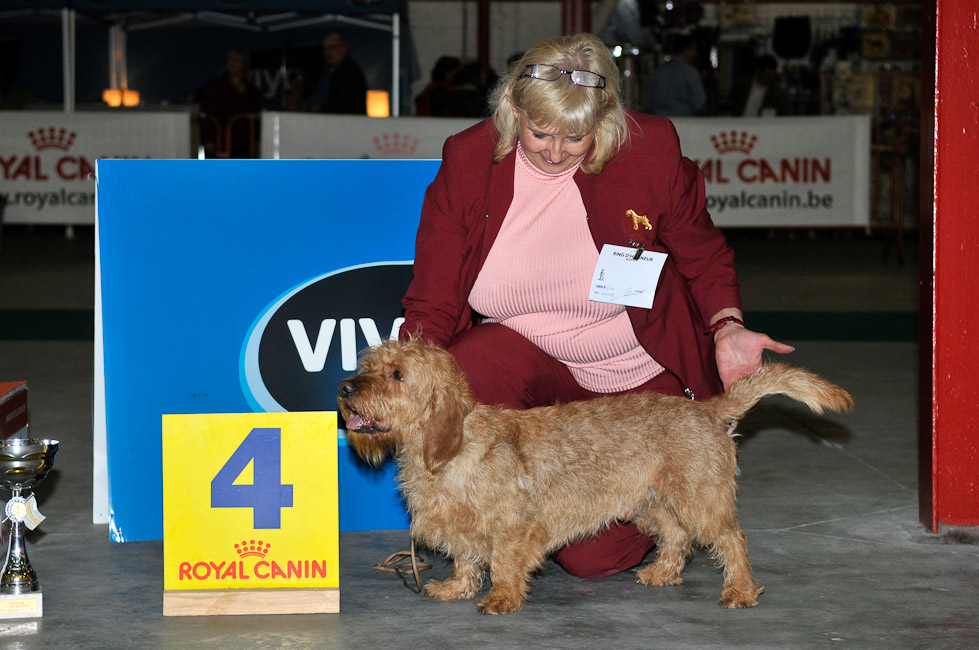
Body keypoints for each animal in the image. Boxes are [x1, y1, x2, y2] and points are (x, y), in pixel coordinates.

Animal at [336, 340, 848, 612]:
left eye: (397, 374)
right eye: (369, 364)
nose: (344, 388)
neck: (452, 448)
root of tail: (706, 410)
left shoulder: (512, 528)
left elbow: (502, 563)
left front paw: (502, 598)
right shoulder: (463, 527)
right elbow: (466, 559)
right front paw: (455, 588)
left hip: (700, 498)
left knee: (731, 539)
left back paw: (739, 590)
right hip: (652, 504)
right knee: (677, 538)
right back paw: (661, 573)